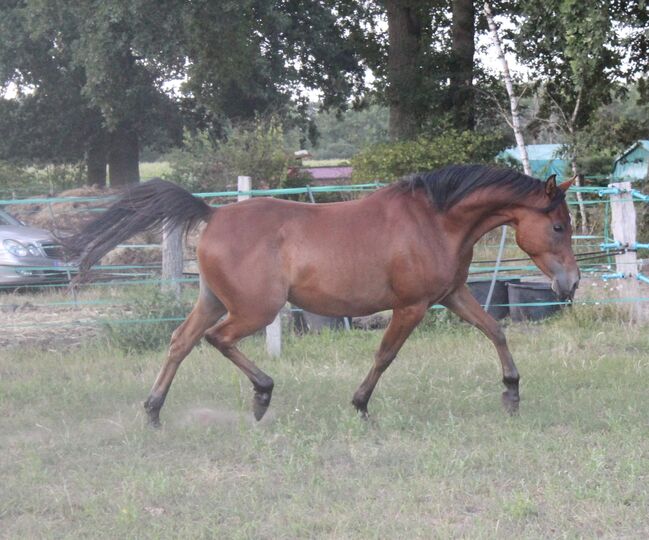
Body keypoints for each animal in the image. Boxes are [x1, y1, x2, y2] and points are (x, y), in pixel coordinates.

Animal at [66, 165, 580, 426]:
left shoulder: (451, 295)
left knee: (181, 342)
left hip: (213, 301)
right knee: (218, 340)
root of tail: (213, 215)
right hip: (254, 310)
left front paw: (511, 394)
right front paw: (361, 406)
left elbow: (496, 330)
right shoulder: (411, 306)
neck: (435, 220)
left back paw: (154, 412)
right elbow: (384, 355)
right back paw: (261, 397)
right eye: (558, 226)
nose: (571, 284)